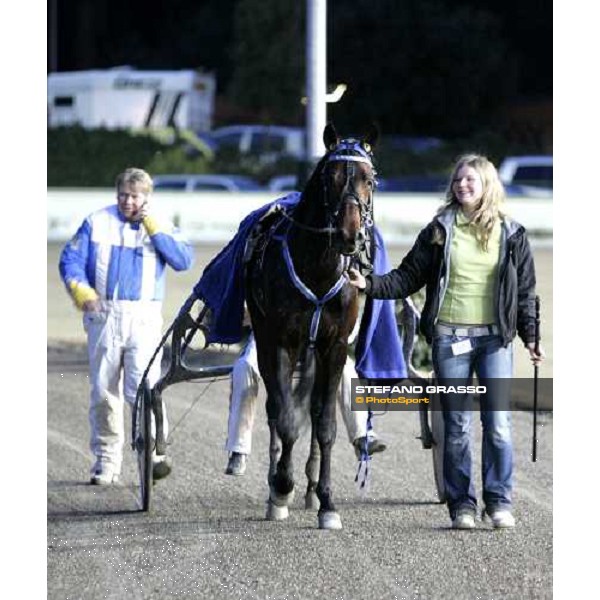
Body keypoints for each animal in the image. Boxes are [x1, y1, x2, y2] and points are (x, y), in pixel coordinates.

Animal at [245, 123, 378, 528]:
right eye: (328, 178)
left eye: (370, 179)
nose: (351, 234)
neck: (318, 271)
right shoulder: (281, 341)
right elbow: (288, 419)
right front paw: (281, 488)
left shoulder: (333, 346)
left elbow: (325, 424)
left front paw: (327, 501)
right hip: (266, 337)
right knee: (276, 408)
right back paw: (278, 485)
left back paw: (310, 487)